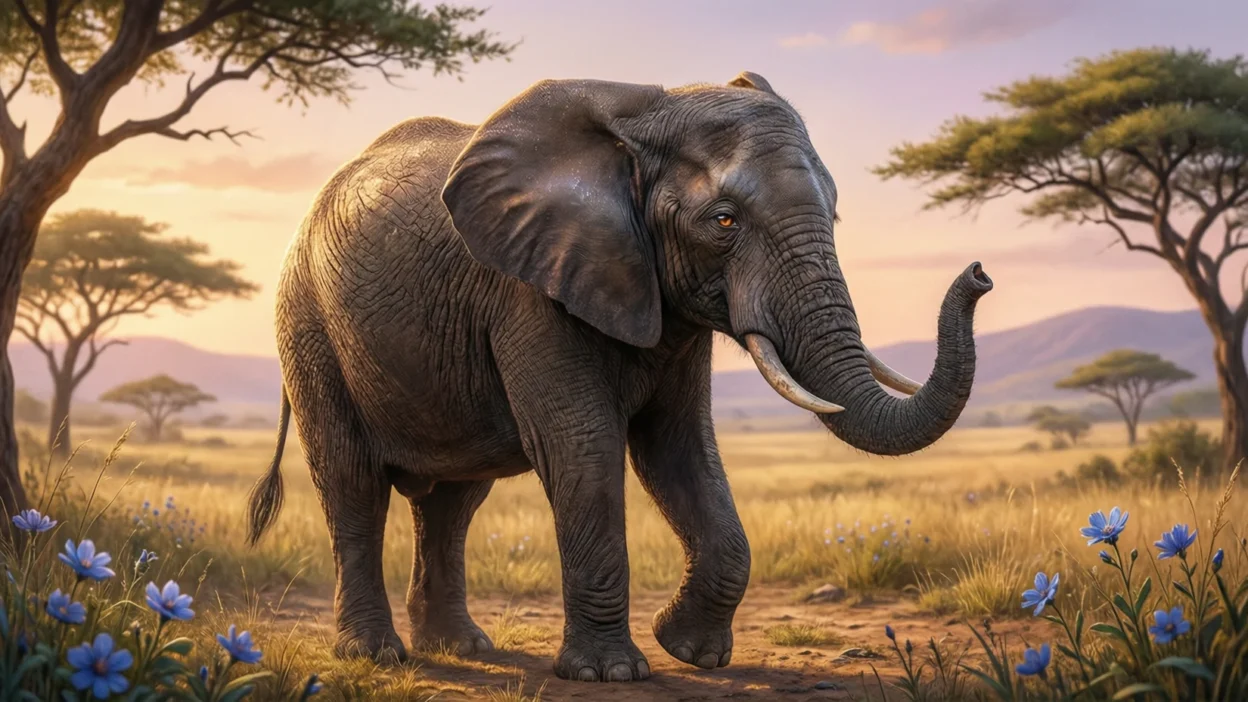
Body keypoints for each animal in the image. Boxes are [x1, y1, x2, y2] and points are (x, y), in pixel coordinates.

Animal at [246, 70, 993, 683]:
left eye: (833, 214)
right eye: (724, 221)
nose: (980, 273)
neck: (647, 116)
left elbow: (680, 447)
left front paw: (690, 651)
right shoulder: (528, 289)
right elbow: (582, 446)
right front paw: (612, 673)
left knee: (453, 502)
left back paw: (463, 648)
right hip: (308, 327)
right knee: (352, 481)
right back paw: (377, 656)